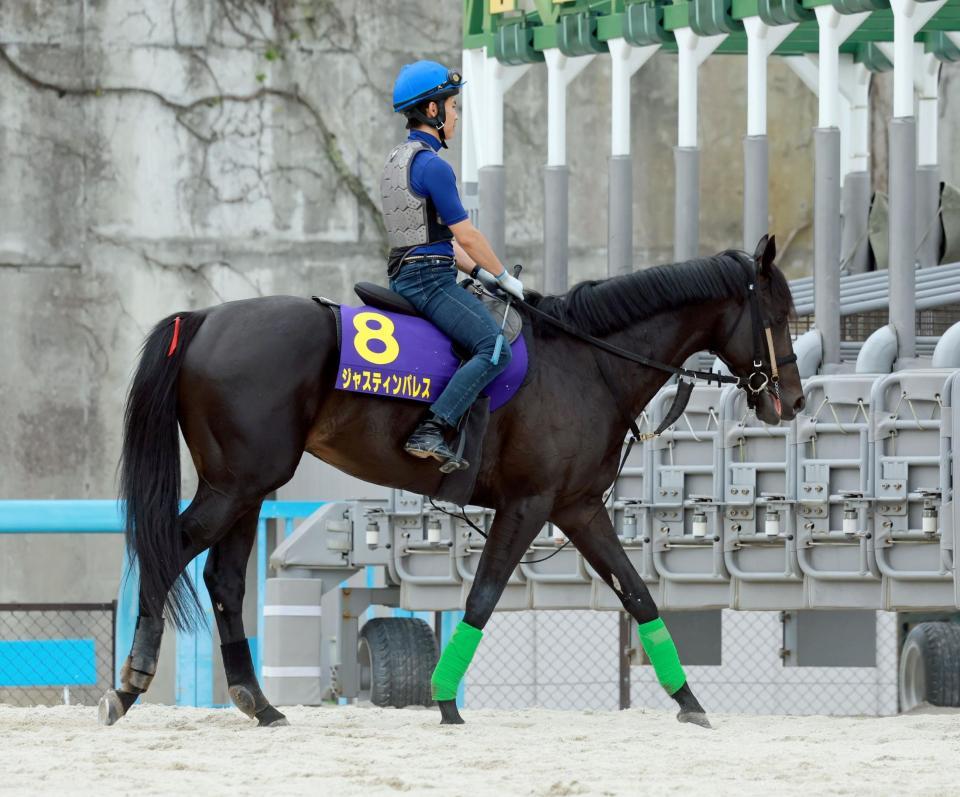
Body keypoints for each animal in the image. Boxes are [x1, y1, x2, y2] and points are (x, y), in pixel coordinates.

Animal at [97, 232, 804, 728]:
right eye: (778, 312)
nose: (792, 401)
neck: (587, 361)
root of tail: (203, 319)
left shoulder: (577, 508)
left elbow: (639, 596)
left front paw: (689, 700)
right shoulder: (528, 505)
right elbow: (482, 598)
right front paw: (443, 699)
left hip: (245, 489)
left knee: (222, 579)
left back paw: (258, 702)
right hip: (237, 486)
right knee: (168, 552)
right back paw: (130, 684)